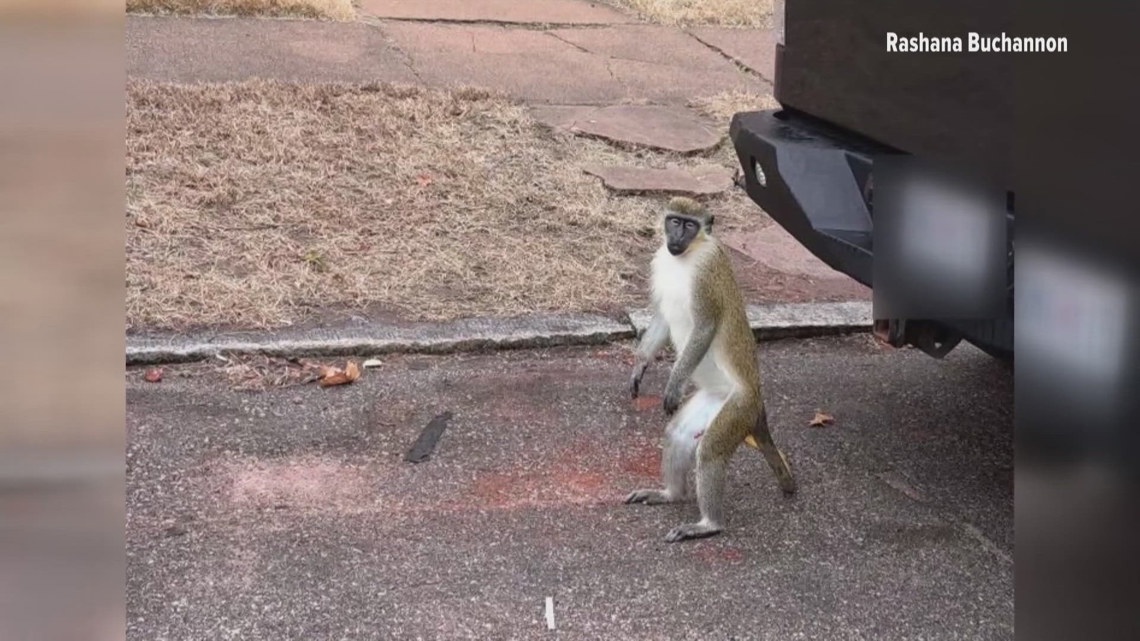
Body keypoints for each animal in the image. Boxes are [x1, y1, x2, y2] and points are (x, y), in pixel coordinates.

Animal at [626, 196, 797, 543]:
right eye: (675, 221)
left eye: (690, 225)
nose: (677, 237)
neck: (686, 257)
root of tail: (757, 400)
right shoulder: (660, 261)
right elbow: (662, 317)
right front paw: (640, 364)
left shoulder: (707, 272)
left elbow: (704, 328)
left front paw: (674, 384)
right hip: (715, 401)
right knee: (677, 434)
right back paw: (671, 495)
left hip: (738, 408)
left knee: (710, 452)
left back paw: (709, 524)